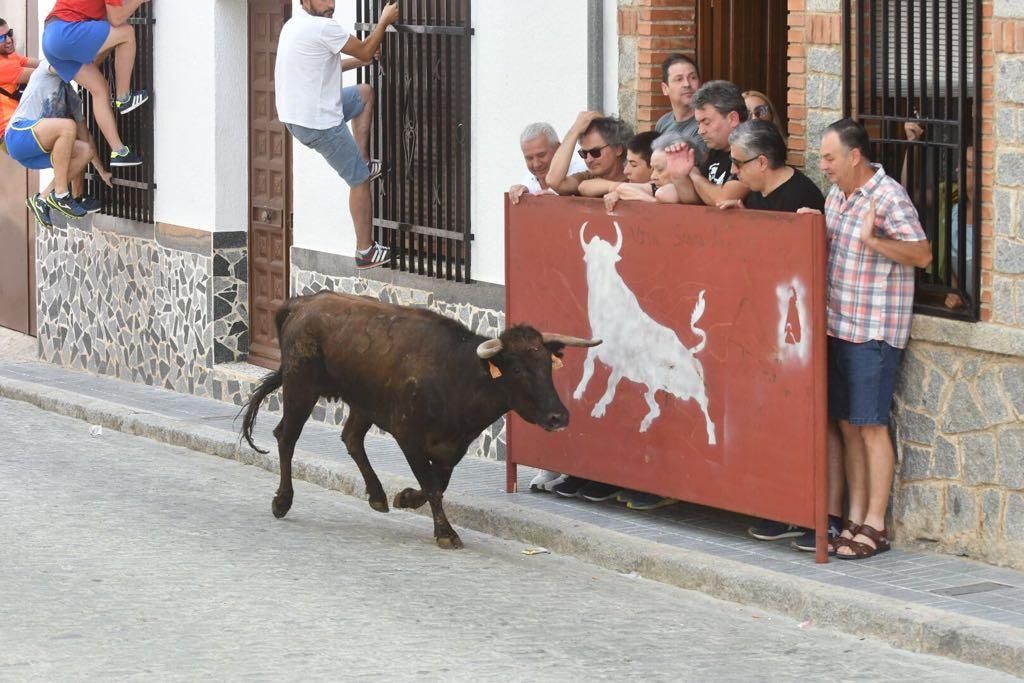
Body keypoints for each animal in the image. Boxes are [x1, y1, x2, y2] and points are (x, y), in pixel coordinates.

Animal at [237, 290, 598, 548]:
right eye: (520, 369)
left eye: (548, 366)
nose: (559, 415)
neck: (458, 375)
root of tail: (301, 303)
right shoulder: (407, 435)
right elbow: (432, 485)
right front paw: (446, 533)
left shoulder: (453, 446)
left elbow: (437, 484)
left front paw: (406, 498)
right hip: (301, 386)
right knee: (286, 436)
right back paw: (282, 501)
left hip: (362, 402)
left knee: (351, 438)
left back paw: (378, 495)